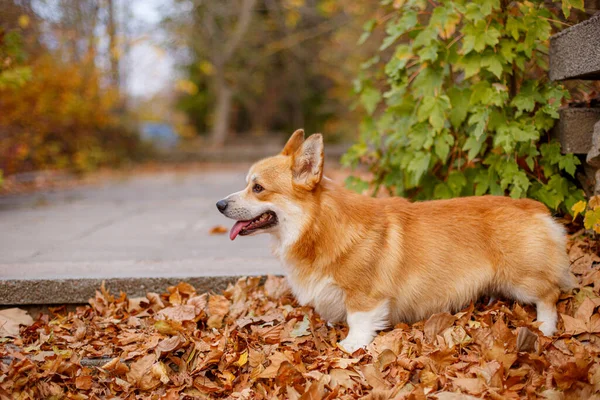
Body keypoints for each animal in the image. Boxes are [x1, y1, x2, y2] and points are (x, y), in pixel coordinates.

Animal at [218, 130, 576, 352]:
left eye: (258, 188)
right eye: (247, 184)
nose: (219, 204)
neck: (318, 227)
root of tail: (536, 207)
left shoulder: (365, 295)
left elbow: (359, 319)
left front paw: (351, 345)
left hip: (522, 278)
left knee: (550, 293)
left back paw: (544, 327)